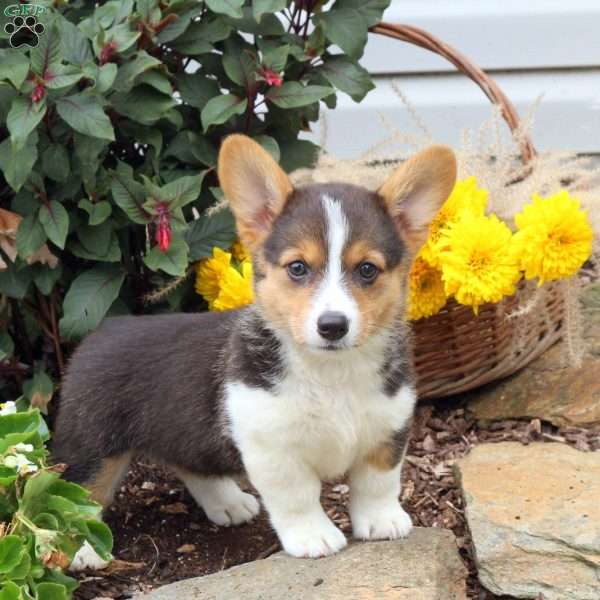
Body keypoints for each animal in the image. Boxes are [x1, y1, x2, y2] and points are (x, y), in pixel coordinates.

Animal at [52, 135, 454, 564]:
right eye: (297, 268)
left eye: (367, 270)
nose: (332, 326)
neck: (332, 371)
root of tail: (100, 331)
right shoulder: (272, 446)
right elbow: (298, 496)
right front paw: (314, 536)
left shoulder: (388, 428)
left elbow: (378, 482)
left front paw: (382, 522)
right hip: (93, 447)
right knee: (78, 497)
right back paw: (83, 551)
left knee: (191, 464)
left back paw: (228, 503)